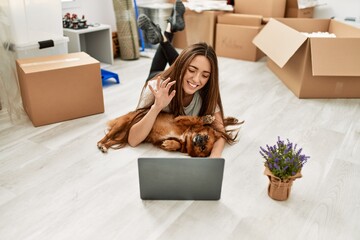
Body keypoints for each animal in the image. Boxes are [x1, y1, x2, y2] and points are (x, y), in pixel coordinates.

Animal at [97, 110, 242, 158]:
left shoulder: (159, 142)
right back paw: (100, 143)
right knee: (107, 136)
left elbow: (176, 144)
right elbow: (195, 119)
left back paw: (104, 147)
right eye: (205, 137)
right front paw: (206, 119)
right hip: (122, 124)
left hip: (124, 138)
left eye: (203, 148)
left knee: (111, 141)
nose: (200, 140)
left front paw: (171, 144)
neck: (186, 136)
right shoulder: (178, 119)